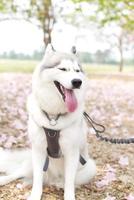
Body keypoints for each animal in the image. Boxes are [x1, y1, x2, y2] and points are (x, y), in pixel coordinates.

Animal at [0, 44, 96, 199]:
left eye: (77, 71)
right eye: (62, 69)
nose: (77, 82)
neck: (53, 117)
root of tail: (51, 179)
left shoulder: (72, 152)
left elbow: (70, 182)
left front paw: (69, 195)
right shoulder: (38, 150)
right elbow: (37, 180)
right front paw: (34, 195)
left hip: (90, 167)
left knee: (68, 180)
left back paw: (59, 184)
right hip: (31, 162)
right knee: (19, 172)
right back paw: (3, 180)